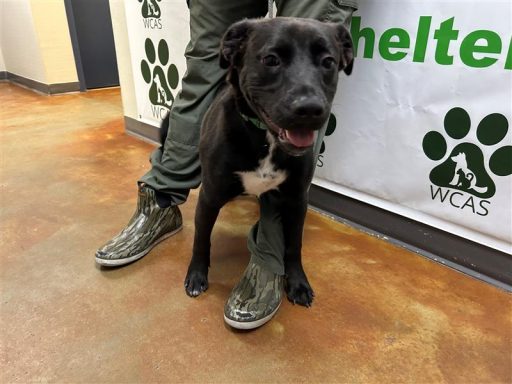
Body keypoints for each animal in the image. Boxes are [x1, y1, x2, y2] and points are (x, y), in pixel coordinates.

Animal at [178, 17, 354, 306]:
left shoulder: (297, 200)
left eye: (329, 61)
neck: (266, 139)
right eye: (271, 59)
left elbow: (294, 245)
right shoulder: (209, 197)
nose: (310, 109)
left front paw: (297, 282)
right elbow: (201, 239)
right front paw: (196, 275)